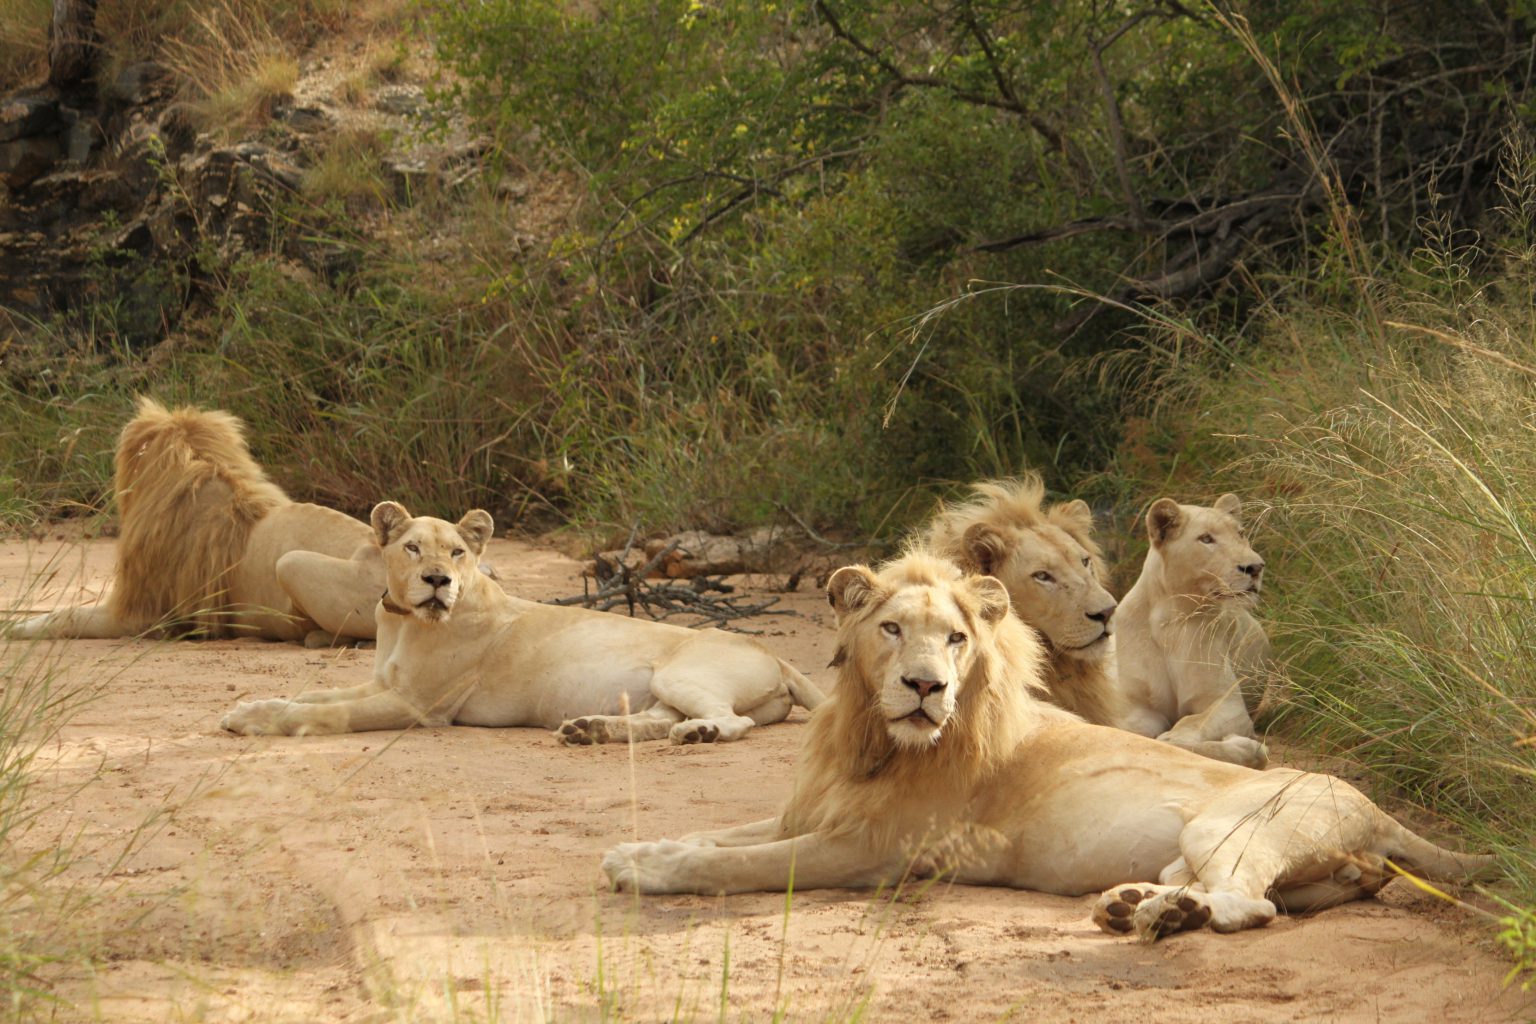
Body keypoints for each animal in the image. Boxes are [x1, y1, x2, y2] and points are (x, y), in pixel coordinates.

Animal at [222, 503, 823, 746]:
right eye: (413, 547)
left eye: (458, 552)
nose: (437, 580)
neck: (404, 622)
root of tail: (779, 656)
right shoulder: (383, 684)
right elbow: (313, 696)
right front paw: (247, 709)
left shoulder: (418, 706)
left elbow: (323, 714)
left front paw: (260, 722)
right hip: (660, 687)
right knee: (658, 718)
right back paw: (590, 730)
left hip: (681, 674)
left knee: (731, 722)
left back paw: (698, 735)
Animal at [605, 555, 1492, 939]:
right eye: (891, 629)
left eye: (956, 640)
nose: (925, 687)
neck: (866, 737)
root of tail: (1378, 813)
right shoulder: (807, 816)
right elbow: (720, 835)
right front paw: (638, 848)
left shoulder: (869, 851)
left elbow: (736, 864)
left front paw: (648, 869)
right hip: (1208, 848)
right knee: (1237, 891)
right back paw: (1140, 904)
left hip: (1233, 824)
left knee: (1250, 904)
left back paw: (1161, 917)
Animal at [1118, 497, 1271, 767]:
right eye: (1206, 539)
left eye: (1241, 534)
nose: (1255, 567)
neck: (1171, 618)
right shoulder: (1135, 706)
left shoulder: (1225, 702)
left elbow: (1183, 731)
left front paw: (1249, 749)